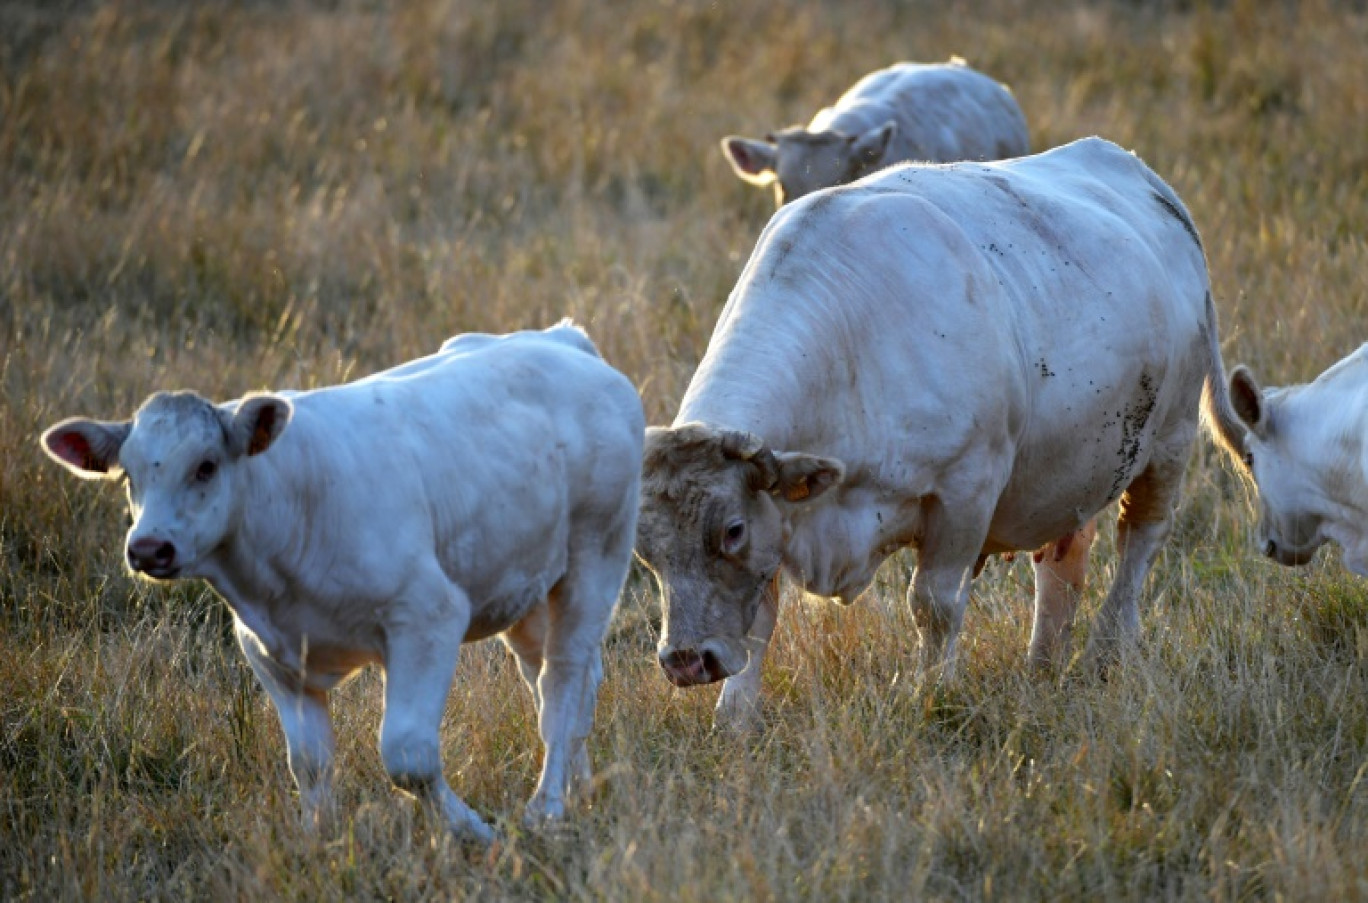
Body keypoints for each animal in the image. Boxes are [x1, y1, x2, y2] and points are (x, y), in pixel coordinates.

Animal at [40, 324, 640, 848]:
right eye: (130, 476)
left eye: (206, 466)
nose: (148, 548)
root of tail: (563, 339)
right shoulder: (270, 653)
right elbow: (308, 763)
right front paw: (317, 841)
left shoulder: (427, 615)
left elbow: (407, 755)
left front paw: (473, 831)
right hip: (527, 586)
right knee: (559, 681)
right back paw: (579, 789)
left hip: (596, 555)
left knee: (562, 684)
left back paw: (547, 806)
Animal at [637, 136, 1253, 733]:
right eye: (644, 550)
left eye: (731, 530)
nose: (685, 661)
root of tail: (1145, 178)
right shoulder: (781, 519)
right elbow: (759, 620)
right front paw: (735, 718)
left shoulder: (964, 492)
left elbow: (933, 606)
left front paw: (931, 693)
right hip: (1074, 463)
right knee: (1063, 559)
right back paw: (1043, 664)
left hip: (1169, 441)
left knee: (1139, 541)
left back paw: (1107, 648)